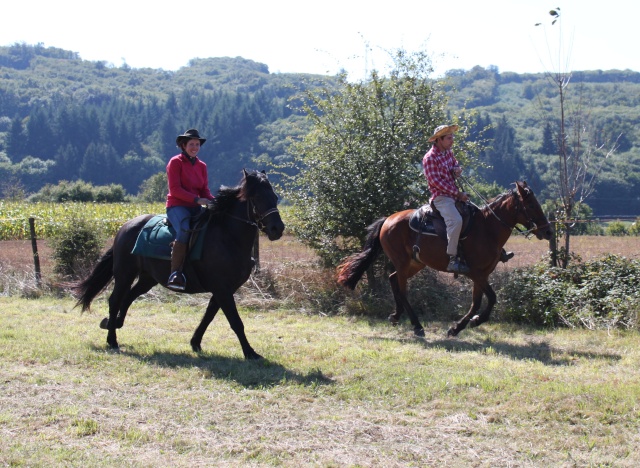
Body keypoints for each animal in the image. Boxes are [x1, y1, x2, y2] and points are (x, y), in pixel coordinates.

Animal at [338, 181, 552, 338]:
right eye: (531, 205)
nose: (548, 231)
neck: (487, 229)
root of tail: (388, 220)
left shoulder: (482, 275)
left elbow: (476, 302)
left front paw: (459, 327)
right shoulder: (475, 273)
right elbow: (491, 298)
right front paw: (472, 322)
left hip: (415, 263)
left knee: (392, 279)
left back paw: (396, 315)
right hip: (402, 262)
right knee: (402, 289)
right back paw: (417, 325)